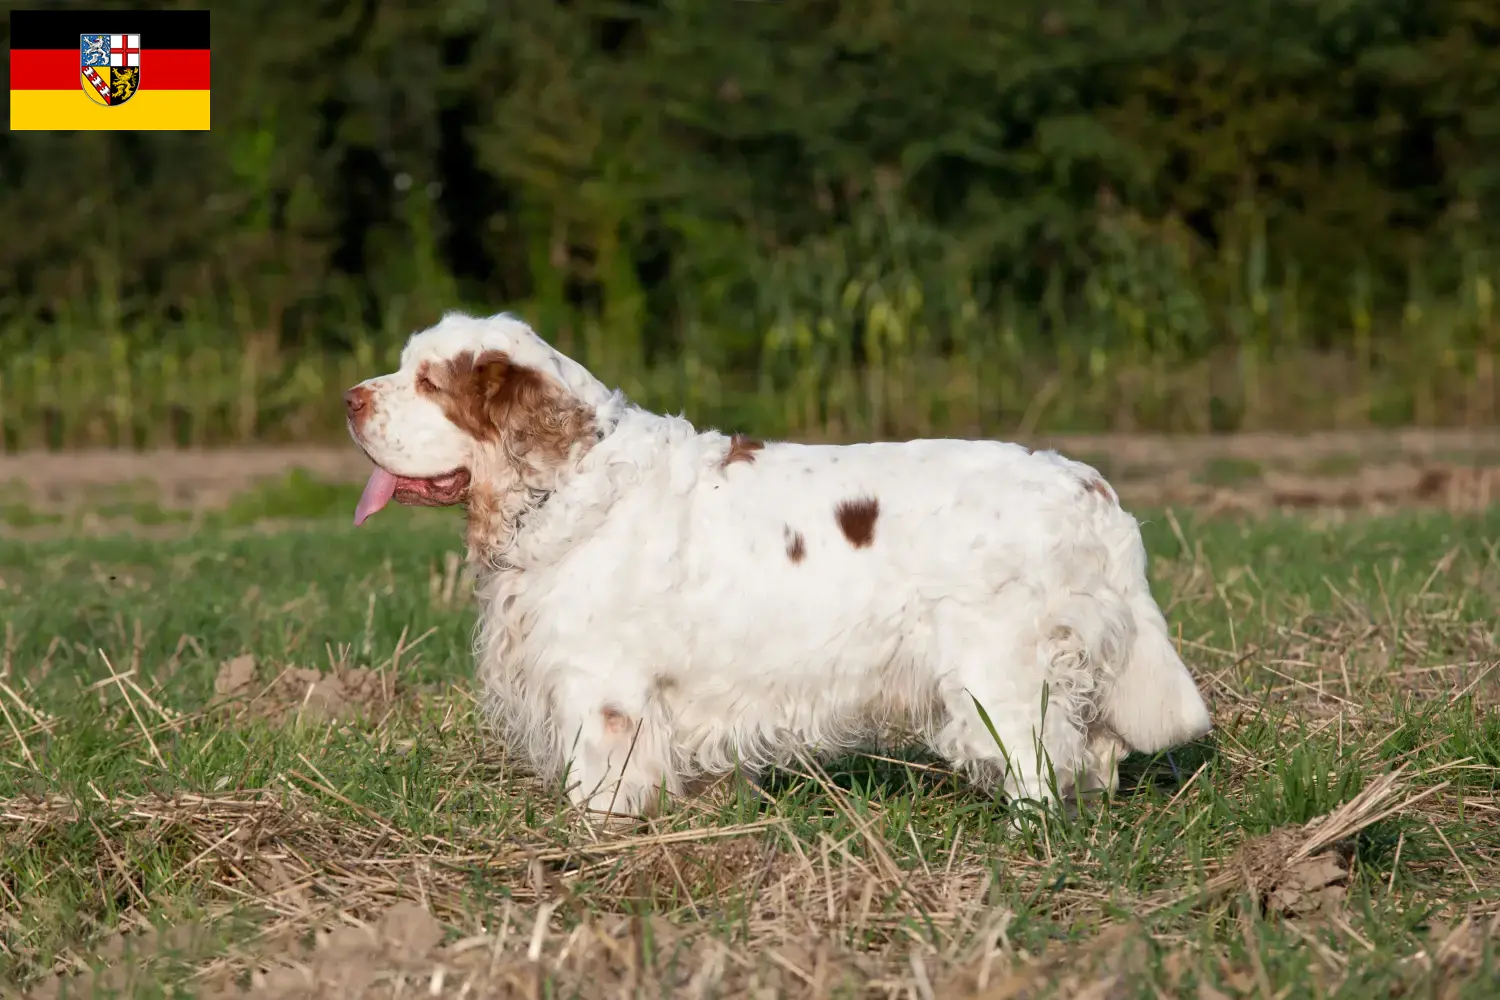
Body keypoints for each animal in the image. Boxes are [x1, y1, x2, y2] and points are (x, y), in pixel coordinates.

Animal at [340, 314, 1206, 821]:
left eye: (429, 382)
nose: (349, 399)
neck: (571, 479)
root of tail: (1090, 488)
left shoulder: (601, 690)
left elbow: (600, 785)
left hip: (1001, 676)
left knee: (1040, 761)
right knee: (1095, 752)